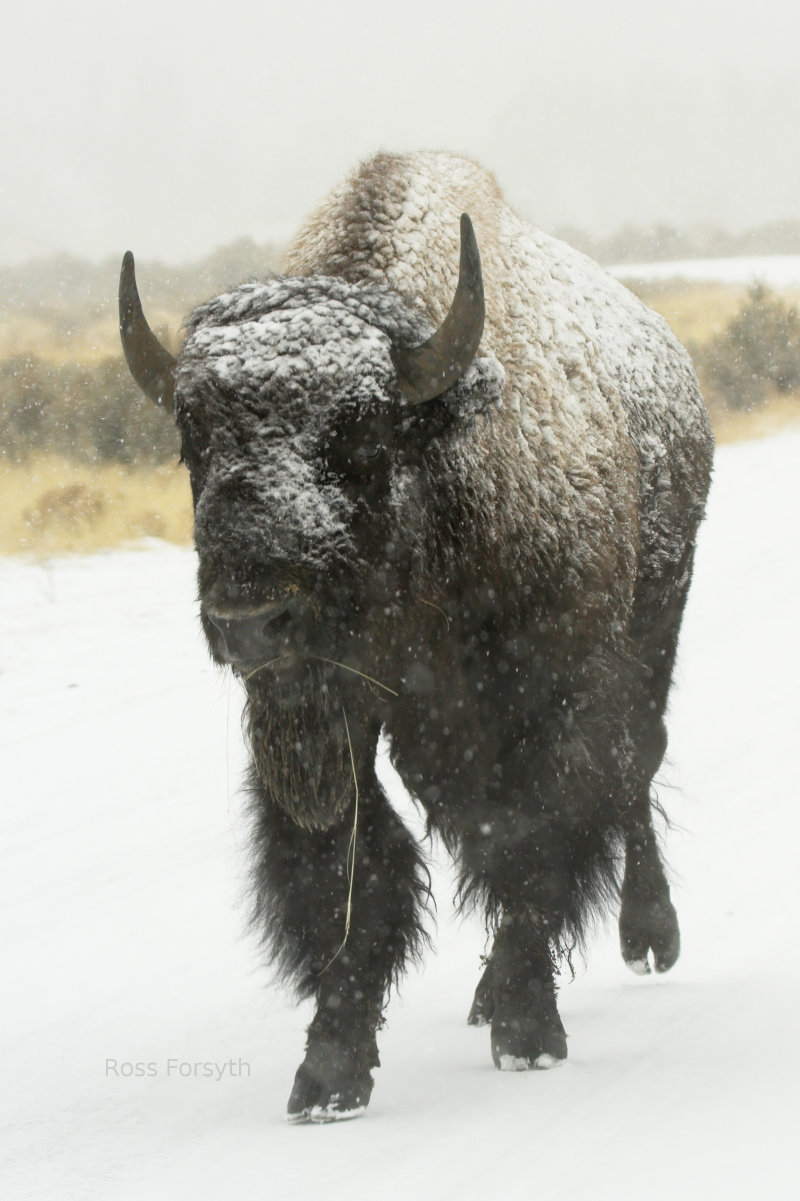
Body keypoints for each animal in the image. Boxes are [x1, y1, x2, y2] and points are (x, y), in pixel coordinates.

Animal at [117, 152, 711, 1124]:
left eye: (361, 429)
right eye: (192, 438)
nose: (251, 623)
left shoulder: (556, 701)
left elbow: (537, 836)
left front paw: (528, 1027)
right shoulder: (335, 723)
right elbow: (356, 877)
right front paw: (329, 1073)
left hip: (659, 627)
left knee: (636, 772)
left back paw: (647, 936)